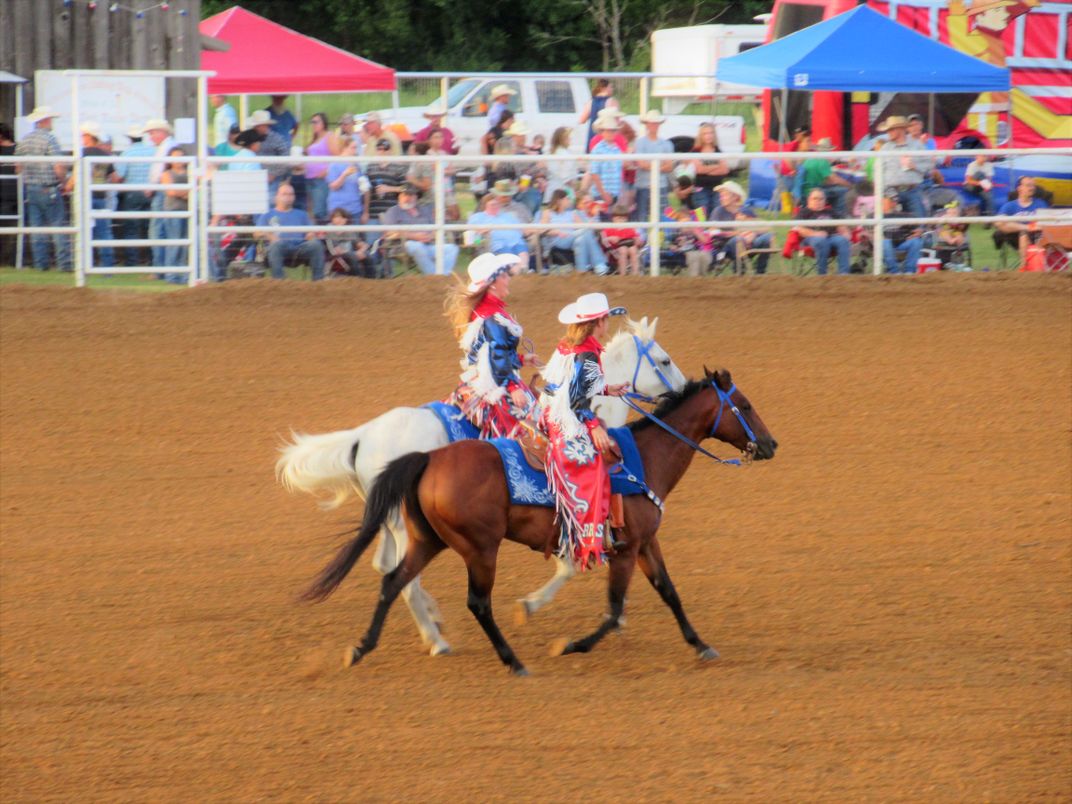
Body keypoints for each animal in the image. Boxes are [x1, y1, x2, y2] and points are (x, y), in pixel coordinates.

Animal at [274, 315, 677, 656]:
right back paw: (436, 639)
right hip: (406, 525)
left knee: (388, 568)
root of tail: (363, 435)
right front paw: (530, 607)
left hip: (391, 521)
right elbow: (569, 567)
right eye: (665, 360)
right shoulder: (570, 515)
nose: (680, 390)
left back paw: (433, 620)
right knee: (405, 577)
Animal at [302, 368, 780, 677]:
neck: (643, 459)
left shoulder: (646, 543)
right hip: (480, 548)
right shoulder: (624, 549)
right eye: (744, 404)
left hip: (428, 540)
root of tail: (427, 459)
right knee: (475, 602)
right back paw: (510, 660)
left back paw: (365, 648)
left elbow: (669, 593)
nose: (771, 444)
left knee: (392, 581)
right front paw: (571, 644)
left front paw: (701, 645)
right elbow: (613, 608)